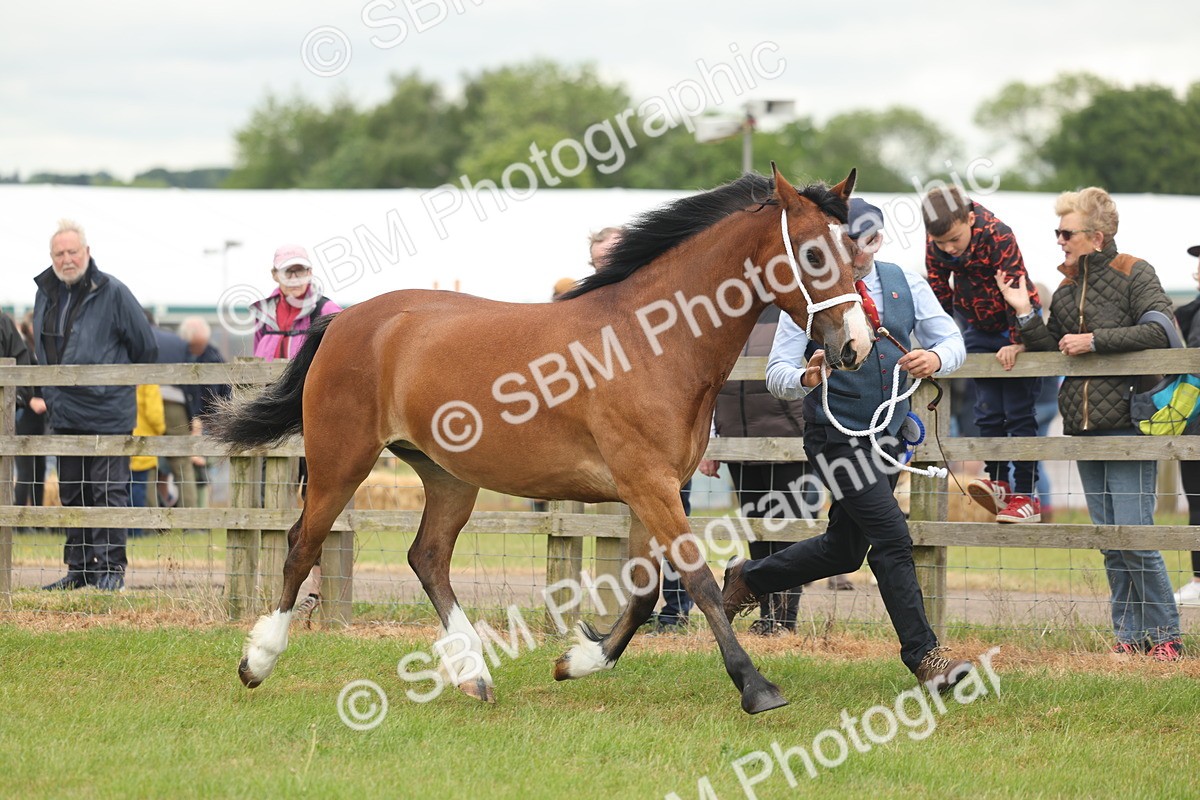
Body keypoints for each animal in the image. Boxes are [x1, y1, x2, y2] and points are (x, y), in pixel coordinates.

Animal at [207, 164, 872, 714]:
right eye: (812, 252)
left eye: (856, 251)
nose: (856, 346)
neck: (652, 339)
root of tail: (346, 318)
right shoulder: (649, 485)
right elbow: (699, 581)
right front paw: (756, 688)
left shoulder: (650, 490)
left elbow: (644, 592)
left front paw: (576, 660)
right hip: (340, 461)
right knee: (302, 545)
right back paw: (258, 660)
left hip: (447, 476)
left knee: (427, 557)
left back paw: (473, 674)